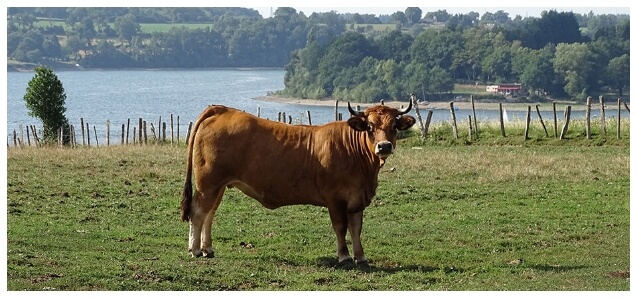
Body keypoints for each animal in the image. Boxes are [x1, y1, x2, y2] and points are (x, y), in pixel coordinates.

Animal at [181, 101, 414, 264]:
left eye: (394, 125)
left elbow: (356, 229)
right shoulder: (335, 199)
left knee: (209, 213)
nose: (384, 146)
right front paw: (344, 256)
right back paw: (195, 250)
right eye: (370, 127)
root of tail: (222, 109)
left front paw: (361, 256)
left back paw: (207, 249)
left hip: (218, 186)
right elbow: (340, 227)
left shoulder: (357, 200)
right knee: (198, 212)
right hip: (207, 183)